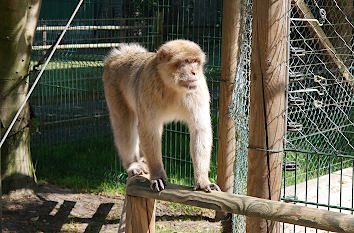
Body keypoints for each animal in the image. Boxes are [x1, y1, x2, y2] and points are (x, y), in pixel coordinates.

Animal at [101, 40, 220, 192]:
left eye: (195, 61)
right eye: (186, 61)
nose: (194, 72)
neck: (172, 87)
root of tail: (122, 55)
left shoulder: (198, 90)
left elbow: (200, 129)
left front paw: (202, 181)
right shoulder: (148, 86)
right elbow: (149, 130)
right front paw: (157, 175)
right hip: (112, 86)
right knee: (124, 126)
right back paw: (133, 164)